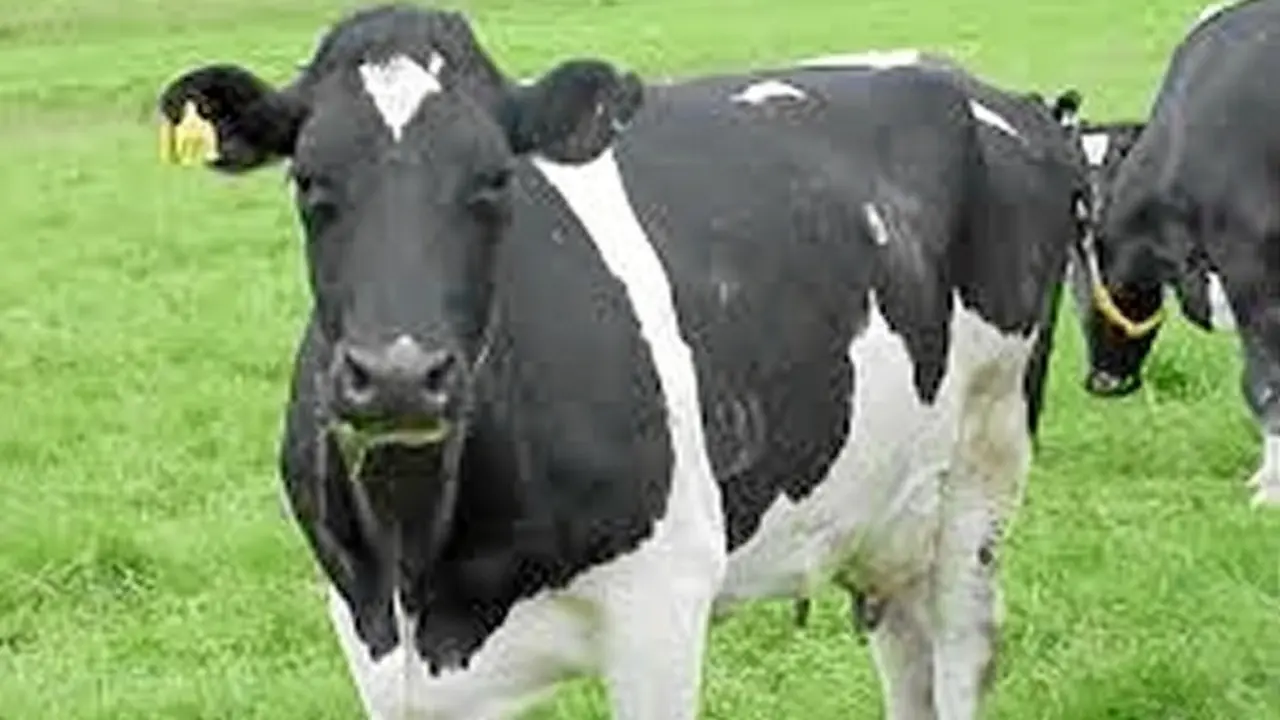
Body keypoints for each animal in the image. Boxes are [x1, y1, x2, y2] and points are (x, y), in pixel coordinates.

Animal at [155, 5, 1083, 718]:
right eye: (310, 181)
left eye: (495, 180)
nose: (398, 375)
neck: (426, 554)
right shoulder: (372, 639)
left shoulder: (660, 606)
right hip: (882, 508)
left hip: (986, 460)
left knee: (960, 652)